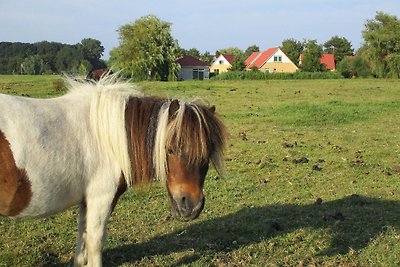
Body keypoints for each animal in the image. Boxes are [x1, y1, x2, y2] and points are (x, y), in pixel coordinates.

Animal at [0, 76, 227, 267]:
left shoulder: (87, 200)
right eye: (170, 149)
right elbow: (95, 242)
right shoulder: (101, 198)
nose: (191, 206)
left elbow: (82, 243)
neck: (107, 138)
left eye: (208, 151)